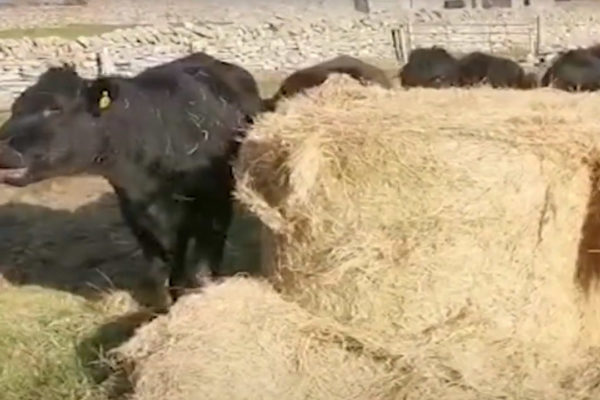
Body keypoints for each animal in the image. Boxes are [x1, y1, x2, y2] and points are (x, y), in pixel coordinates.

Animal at [0, 62, 251, 308]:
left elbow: (203, 269)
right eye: (15, 108)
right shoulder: (137, 218)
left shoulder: (214, 207)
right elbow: (163, 276)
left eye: (55, 108)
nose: (2, 147)